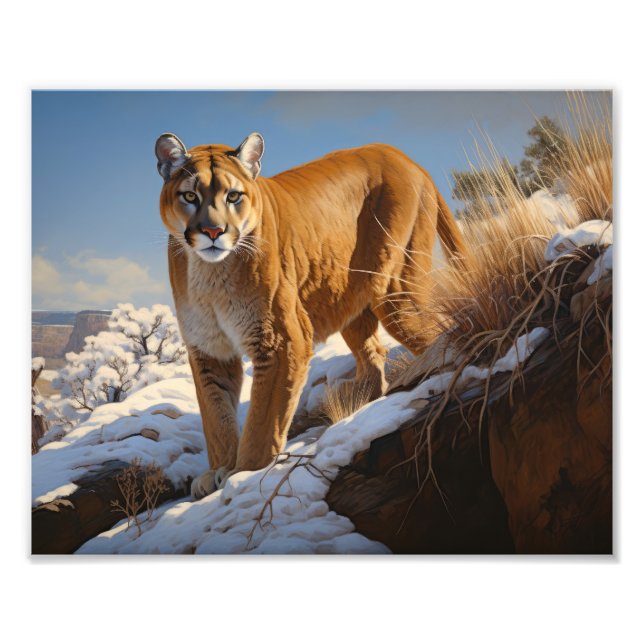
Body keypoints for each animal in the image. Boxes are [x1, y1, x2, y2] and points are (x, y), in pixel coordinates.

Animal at [155, 132, 465, 498]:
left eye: (233, 196)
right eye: (190, 195)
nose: (214, 232)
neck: (208, 273)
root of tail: (405, 156)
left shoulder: (282, 340)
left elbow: (263, 421)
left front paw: (243, 474)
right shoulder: (209, 351)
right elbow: (215, 416)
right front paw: (218, 470)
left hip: (398, 290)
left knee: (441, 330)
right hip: (350, 298)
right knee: (373, 354)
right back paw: (356, 413)